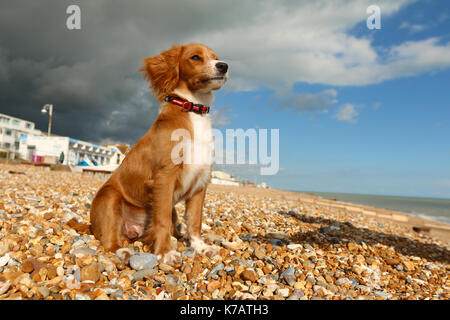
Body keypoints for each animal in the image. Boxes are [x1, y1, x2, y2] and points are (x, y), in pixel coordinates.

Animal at [89, 42, 229, 264]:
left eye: (216, 57)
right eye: (195, 57)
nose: (223, 66)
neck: (193, 110)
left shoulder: (201, 181)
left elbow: (195, 220)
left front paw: (199, 247)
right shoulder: (165, 176)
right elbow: (161, 219)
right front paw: (165, 252)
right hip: (111, 199)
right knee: (109, 241)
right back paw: (123, 252)